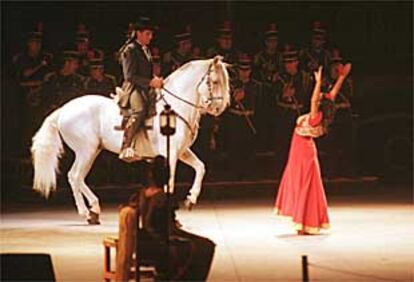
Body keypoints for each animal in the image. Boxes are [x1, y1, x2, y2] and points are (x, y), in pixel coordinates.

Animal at [31, 56, 230, 224]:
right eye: (214, 81)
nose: (219, 108)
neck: (173, 110)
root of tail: (63, 110)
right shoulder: (170, 154)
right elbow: (170, 183)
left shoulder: (181, 152)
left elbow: (200, 167)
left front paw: (191, 199)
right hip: (85, 150)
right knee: (74, 176)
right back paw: (86, 212)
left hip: (93, 151)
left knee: (78, 177)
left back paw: (93, 211)